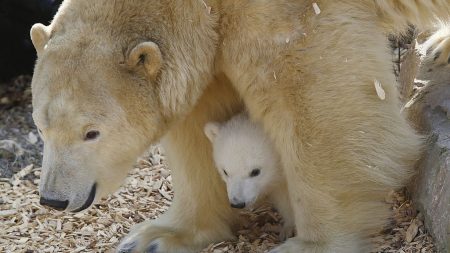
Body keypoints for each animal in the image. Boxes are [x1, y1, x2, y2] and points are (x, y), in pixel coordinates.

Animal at [30, 0, 446, 253]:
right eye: (41, 127)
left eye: (91, 132)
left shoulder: (288, 15)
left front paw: (310, 244)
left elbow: (320, 105)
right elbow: (196, 130)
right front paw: (156, 237)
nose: (53, 199)